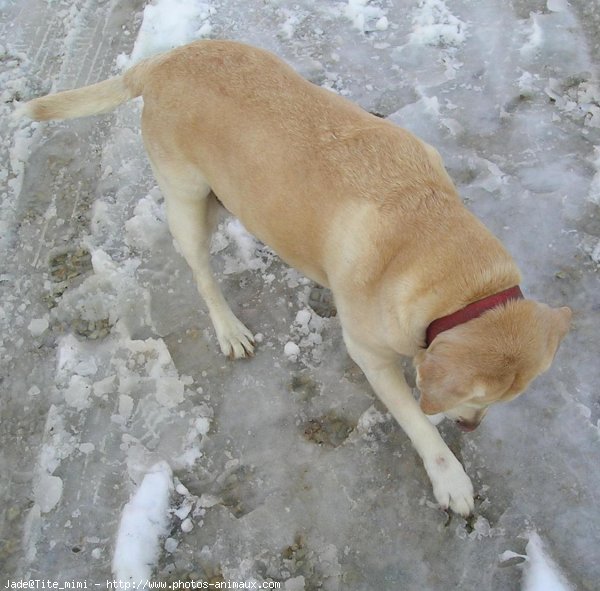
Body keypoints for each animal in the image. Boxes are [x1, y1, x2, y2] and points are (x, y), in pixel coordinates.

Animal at [15, 39, 572, 516]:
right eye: (475, 402)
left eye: (498, 403)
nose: (472, 427)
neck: (429, 240)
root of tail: (164, 60)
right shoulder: (370, 355)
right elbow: (417, 422)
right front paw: (449, 475)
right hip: (187, 203)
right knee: (201, 273)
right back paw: (229, 329)